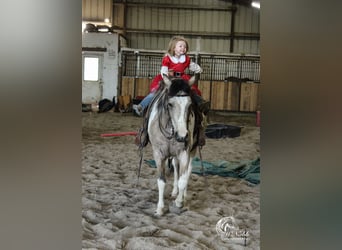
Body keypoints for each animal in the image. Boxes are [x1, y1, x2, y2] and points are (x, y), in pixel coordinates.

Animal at [146, 73, 200, 215]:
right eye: (170, 104)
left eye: (189, 104)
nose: (182, 135)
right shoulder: (158, 154)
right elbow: (161, 181)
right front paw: (160, 208)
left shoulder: (184, 152)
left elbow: (183, 179)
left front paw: (179, 202)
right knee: (176, 167)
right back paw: (175, 192)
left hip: (192, 150)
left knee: (188, 171)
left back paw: (183, 195)